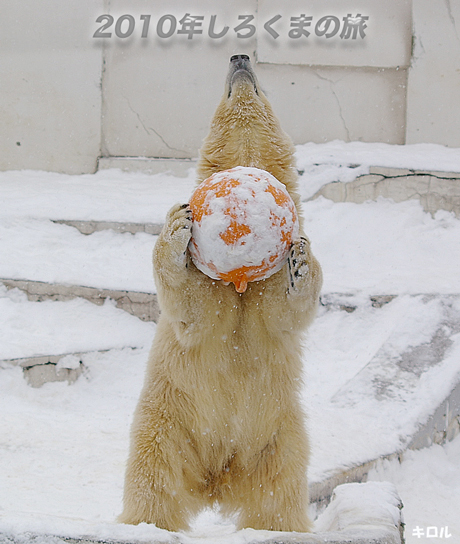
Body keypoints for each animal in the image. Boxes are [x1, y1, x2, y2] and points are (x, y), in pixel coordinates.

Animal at [120, 54, 326, 532]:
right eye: (228, 88)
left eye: (261, 87)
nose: (240, 57)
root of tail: (218, 478)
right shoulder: (210, 288)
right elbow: (194, 310)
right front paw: (175, 226)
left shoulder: (265, 288)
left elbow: (283, 313)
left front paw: (302, 262)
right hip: (167, 422)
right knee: (153, 480)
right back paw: (144, 524)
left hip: (279, 435)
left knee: (280, 494)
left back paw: (282, 529)